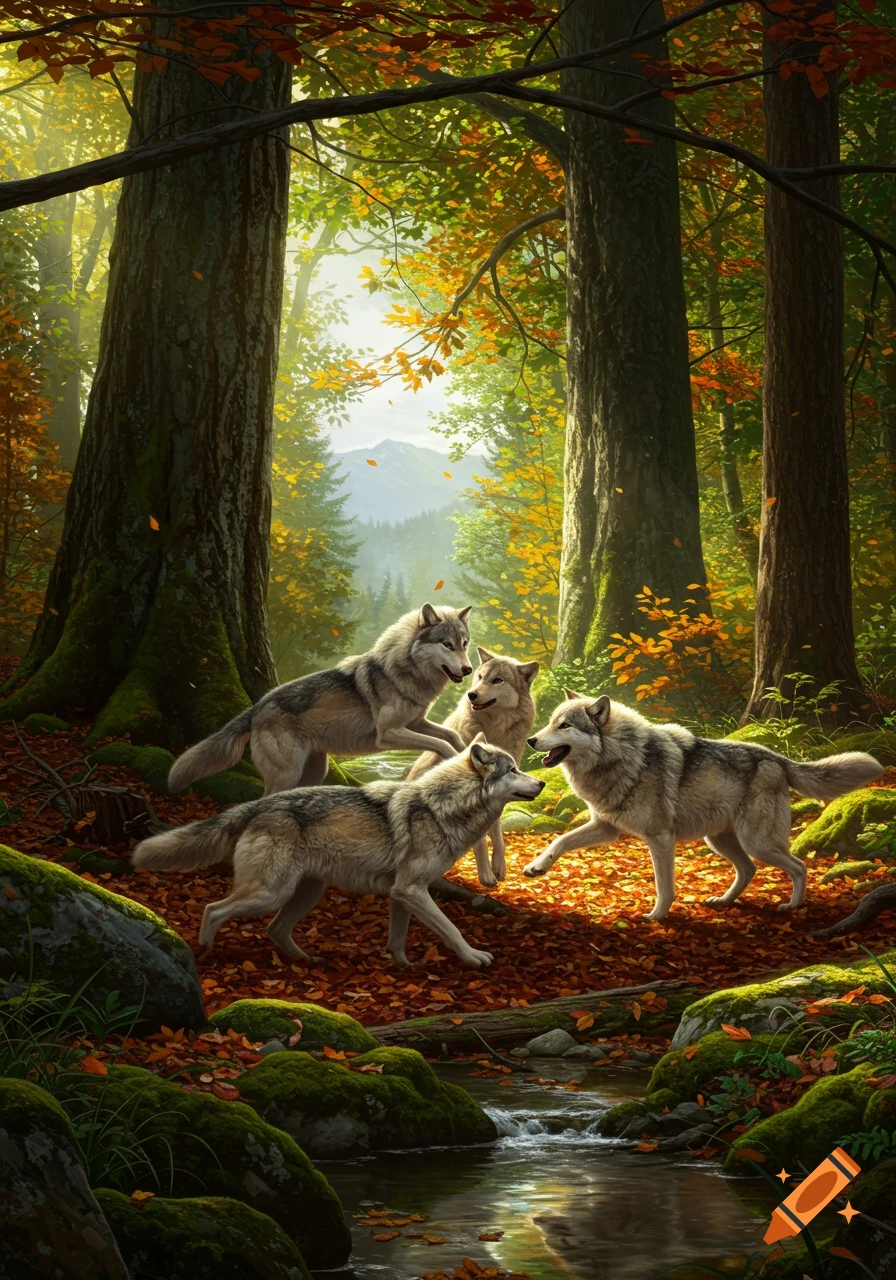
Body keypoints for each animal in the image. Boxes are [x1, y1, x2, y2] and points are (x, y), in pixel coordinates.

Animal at [133, 737, 544, 968]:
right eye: (513, 769)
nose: (540, 782)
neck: (442, 805)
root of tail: (255, 805)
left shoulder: (402, 894)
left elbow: (398, 938)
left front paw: (405, 966)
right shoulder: (412, 890)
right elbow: (451, 929)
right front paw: (474, 958)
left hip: (305, 892)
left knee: (274, 928)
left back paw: (307, 961)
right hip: (270, 893)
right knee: (213, 909)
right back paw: (206, 952)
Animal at [167, 603, 474, 797]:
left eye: (465, 643)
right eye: (447, 645)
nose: (469, 669)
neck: (401, 670)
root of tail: (257, 706)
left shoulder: (417, 722)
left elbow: (451, 736)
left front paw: (467, 752)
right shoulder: (388, 734)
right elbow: (441, 744)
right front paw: (454, 759)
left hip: (314, 772)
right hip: (288, 773)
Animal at [406, 647, 539, 886]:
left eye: (497, 680)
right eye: (480, 677)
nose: (471, 694)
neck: (494, 729)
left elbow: (496, 829)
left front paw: (499, 866)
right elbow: (480, 837)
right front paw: (486, 874)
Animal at [522, 692, 883, 920]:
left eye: (564, 725)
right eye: (551, 722)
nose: (530, 740)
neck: (622, 756)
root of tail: (777, 757)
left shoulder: (660, 838)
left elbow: (664, 885)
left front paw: (657, 916)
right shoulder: (606, 827)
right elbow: (560, 840)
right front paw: (536, 867)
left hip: (757, 842)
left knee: (799, 866)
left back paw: (793, 907)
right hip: (721, 841)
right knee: (749, 870)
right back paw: (723, 901)